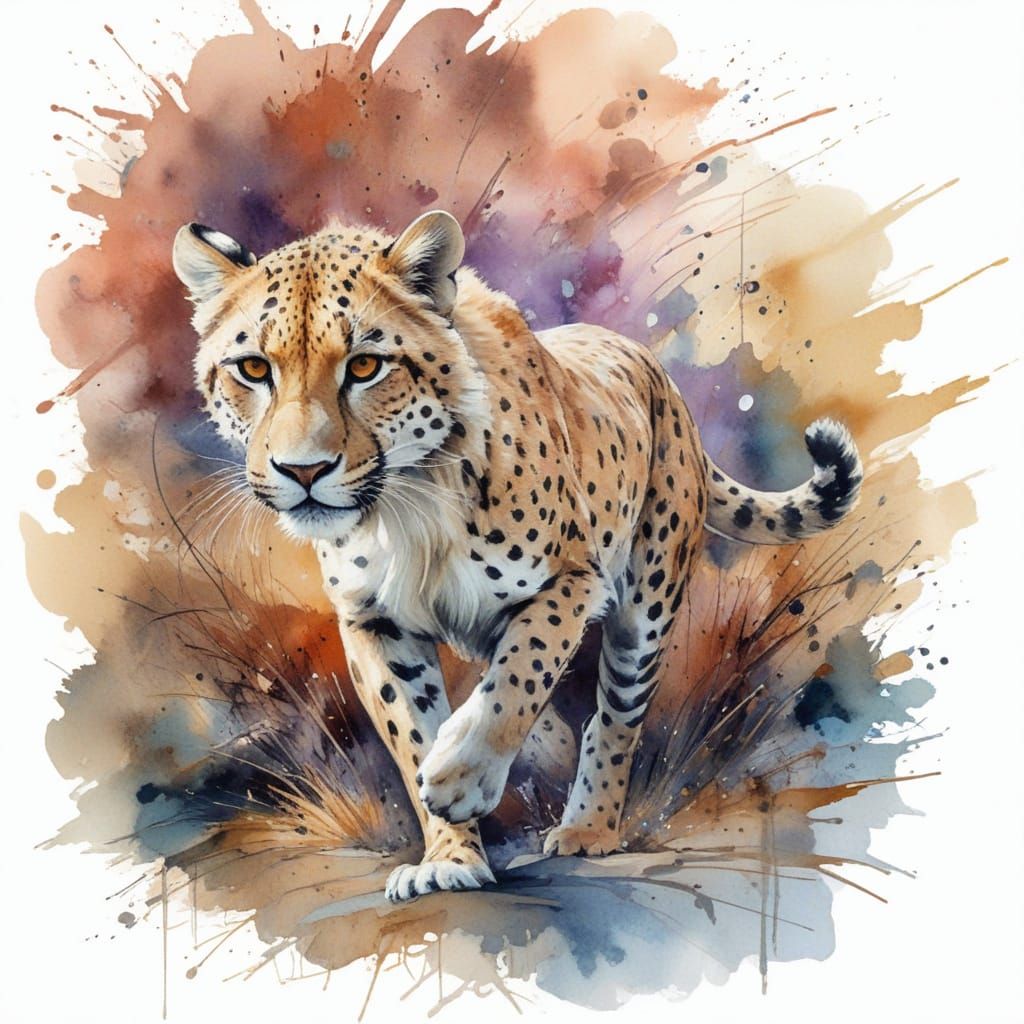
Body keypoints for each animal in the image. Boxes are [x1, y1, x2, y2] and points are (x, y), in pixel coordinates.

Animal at [173, 210, 862, 902]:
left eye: (365, 366)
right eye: (253, 369)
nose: (303, 470)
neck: (410, 507)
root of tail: (660, 376)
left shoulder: (572, 581)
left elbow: (519, 674)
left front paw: (461, 778)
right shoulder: (373, 621)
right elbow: (414, 731)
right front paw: (449, 855)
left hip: (646, 605)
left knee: (612, 715)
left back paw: (587, 829)